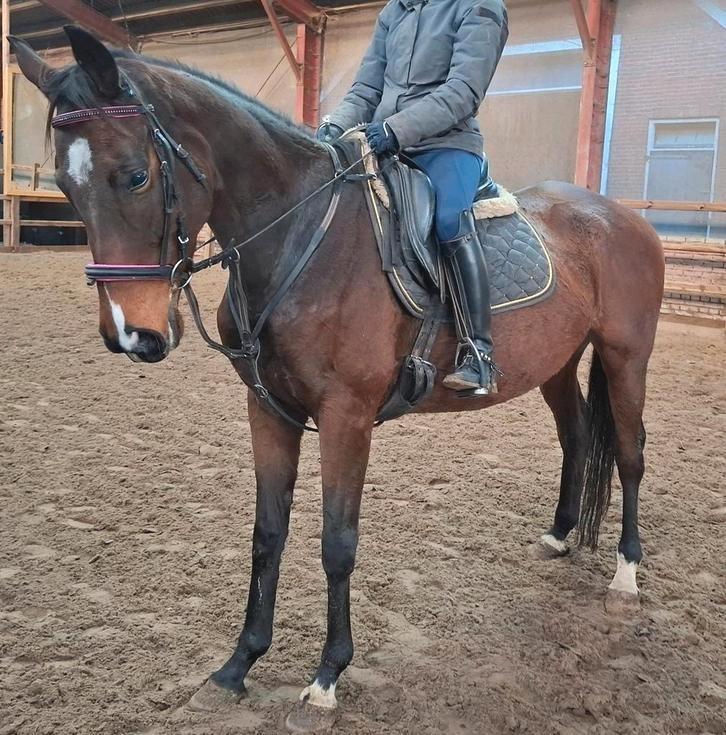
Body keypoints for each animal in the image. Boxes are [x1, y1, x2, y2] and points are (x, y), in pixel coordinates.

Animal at [11, 27, 664, 731]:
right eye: (64, 185)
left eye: (135, 175)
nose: (132, 335)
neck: (299, 237)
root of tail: (622, 217)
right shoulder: (268, 409)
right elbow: (267, 533)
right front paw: (237, 666)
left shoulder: (345, 416)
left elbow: (336, 542)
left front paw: (326, 678)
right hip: (558, 364)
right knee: (577, 439)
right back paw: (559, 536)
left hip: (627, 356)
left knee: (630, 455)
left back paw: (626, 576)